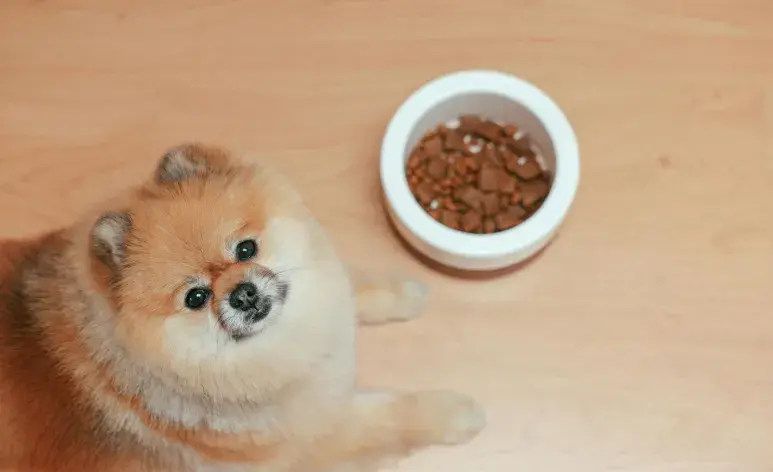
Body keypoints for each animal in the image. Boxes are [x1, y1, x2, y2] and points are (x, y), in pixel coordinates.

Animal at [0, 145, 482, 472]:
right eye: (195, 297)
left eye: (246, 249)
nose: (244, 293)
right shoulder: (313, 441)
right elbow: (392, 417)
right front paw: (456, 413)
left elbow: (347, 285)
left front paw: (403, 292)